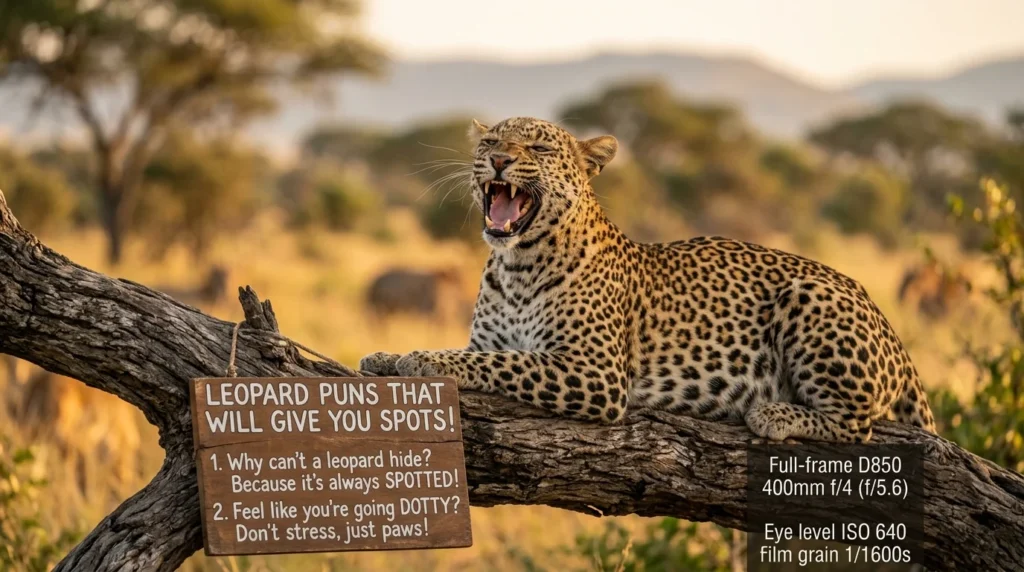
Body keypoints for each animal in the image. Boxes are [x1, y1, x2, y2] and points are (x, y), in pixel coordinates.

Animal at [360, 116, 936, 442]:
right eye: (493, 142)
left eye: (539, 150)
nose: (498, 159)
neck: (517, 264)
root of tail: (891, 330)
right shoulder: (491, 338)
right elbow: (480, 352)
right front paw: (385, 355)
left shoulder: (594, 371)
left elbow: (501, 363)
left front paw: (422, 359)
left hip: (810, 297)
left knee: (857, 426)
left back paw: (776, 415)